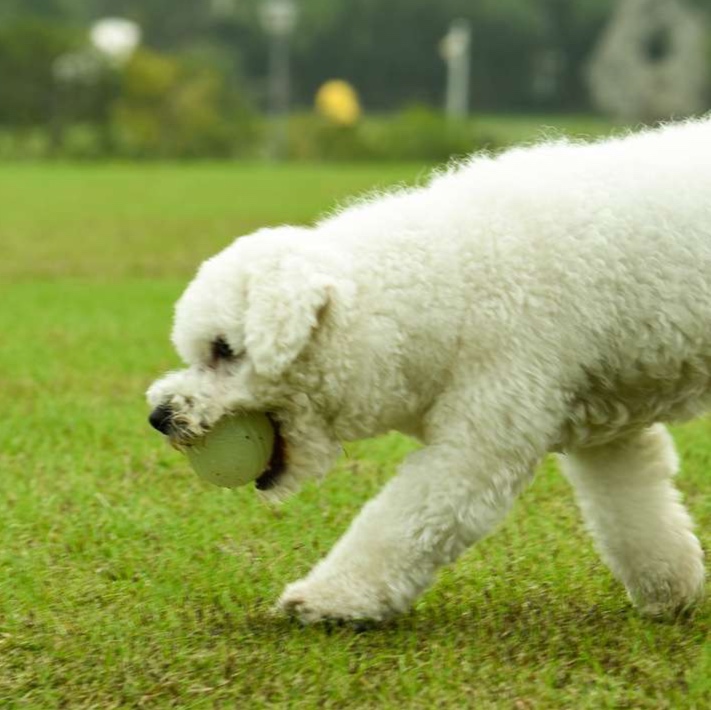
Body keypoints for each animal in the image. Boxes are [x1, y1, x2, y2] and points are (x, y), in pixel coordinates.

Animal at [147, 119, 708, 624]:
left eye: (224, 349)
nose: (160, 415)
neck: (446, 285)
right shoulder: (607, 438)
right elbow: (636, 514)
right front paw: (670, 590)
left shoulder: (479, 445)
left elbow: (403, 522)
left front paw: (331, 598)